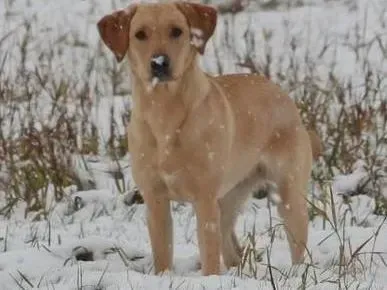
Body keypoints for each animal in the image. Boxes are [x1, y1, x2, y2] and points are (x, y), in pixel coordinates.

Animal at [98, 2, 322, 276]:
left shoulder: (204, 198)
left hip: (288, 195)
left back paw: (296, 273)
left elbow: (210, 256)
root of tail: (284, 95)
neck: (165, 117)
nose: (159, 62)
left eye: (176, 31)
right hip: (229, 198)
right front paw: (164, 277)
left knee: (296, 246)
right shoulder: (155, 199)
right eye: (140, 34)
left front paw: (209, 279)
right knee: (232, 245)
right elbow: (162, 254)